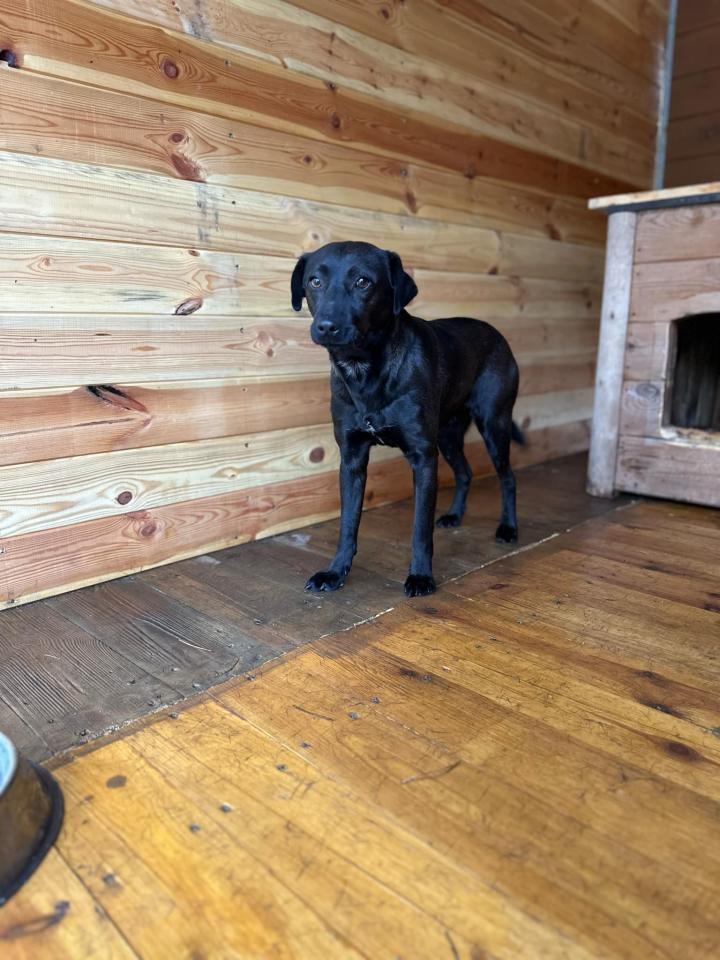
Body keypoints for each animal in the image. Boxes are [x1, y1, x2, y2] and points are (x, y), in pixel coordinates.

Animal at [291, 241, 522, 597]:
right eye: (315, 281)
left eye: (363, 282)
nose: (327, 326)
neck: (366, 372)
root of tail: (496, 333)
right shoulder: (352, 458)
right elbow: (347, 524)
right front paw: (335, 572)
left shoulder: (423, 457)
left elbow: (420, 528)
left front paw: (421, 576)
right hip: (447, 435)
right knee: (465, 472)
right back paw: (454, 516)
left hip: (494, 424)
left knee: (507, 477)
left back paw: (508, 528)